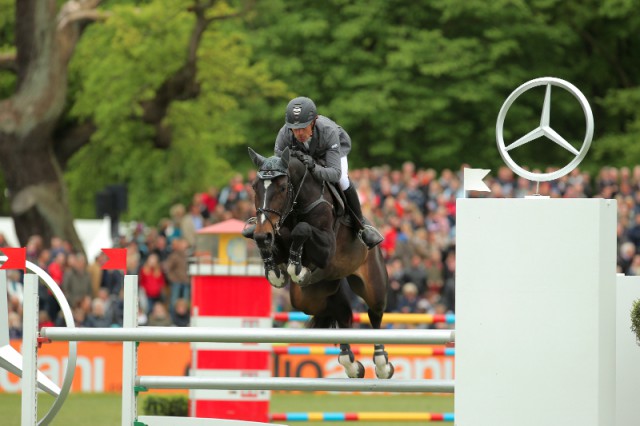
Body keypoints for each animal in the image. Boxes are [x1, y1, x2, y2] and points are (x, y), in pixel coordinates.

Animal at [248, 147, 392, 380]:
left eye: (282, 187)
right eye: (254, 187)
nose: (263, 235)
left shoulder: (326, 249)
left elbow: (302, 229)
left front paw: (296, 268)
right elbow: (277, 243)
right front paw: (275, 271)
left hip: (373, 284)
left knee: (375, 313)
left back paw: (382, 364)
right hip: (312, 297)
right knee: (343, 314)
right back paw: (351, 364)